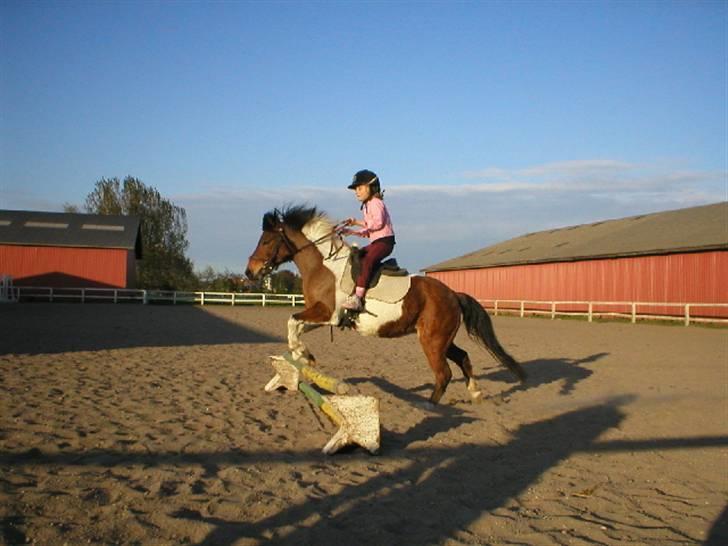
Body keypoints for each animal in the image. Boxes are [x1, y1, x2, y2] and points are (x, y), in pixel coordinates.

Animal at [245, 204, 524, 404]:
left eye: (266, 241)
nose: (250, 271)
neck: (324, 266)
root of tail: (454, 294)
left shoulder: (327, 313)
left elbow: (292, 321)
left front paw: (303, 354)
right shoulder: (323, 317)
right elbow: (296, 326)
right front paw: (303, 356)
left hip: (432, 341)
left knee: (443, 373)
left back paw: (428, 406)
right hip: (440, 338)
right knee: (462, 357)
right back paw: (475, 394)